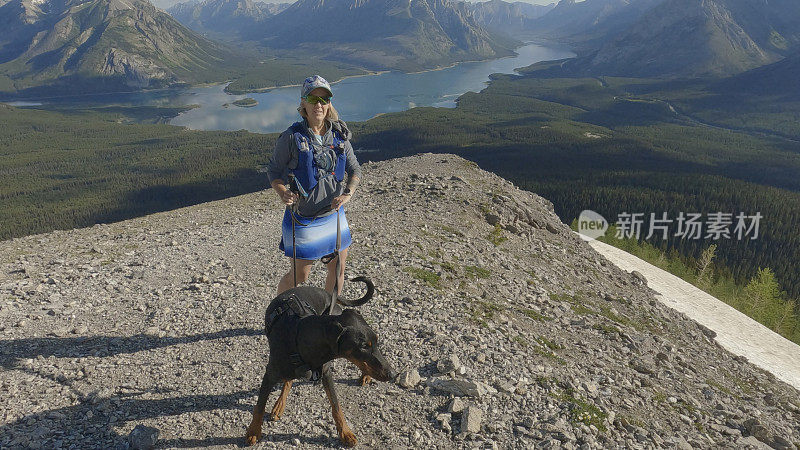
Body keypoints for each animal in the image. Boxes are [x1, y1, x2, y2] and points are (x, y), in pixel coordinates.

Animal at [244, 276, 394, 448]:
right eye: (363, 346)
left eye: (376, 341)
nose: (393, 374)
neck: (300, 336)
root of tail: (326, 293)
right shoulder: (269, 375)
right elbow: (259, 407)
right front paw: (253, 431)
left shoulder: (326, 373)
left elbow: (336, 405)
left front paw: (345, 433)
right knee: (288, 380)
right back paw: (279, 405)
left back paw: (365, 376)